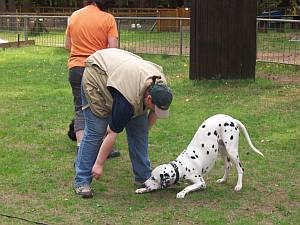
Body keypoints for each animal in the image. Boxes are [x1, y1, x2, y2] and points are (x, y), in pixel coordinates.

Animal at [135, 114, 264, 199]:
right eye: (150, 176)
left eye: (154, 178)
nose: (143, 184)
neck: (181, 167)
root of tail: (231, 119)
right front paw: (142, 189)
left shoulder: (200, 182)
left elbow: (187, 187)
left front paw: (181, 193)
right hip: (222, 150)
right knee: (228, 165)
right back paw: (223, 180)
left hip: (232, 151)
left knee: (240, 168)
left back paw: (239, 185)